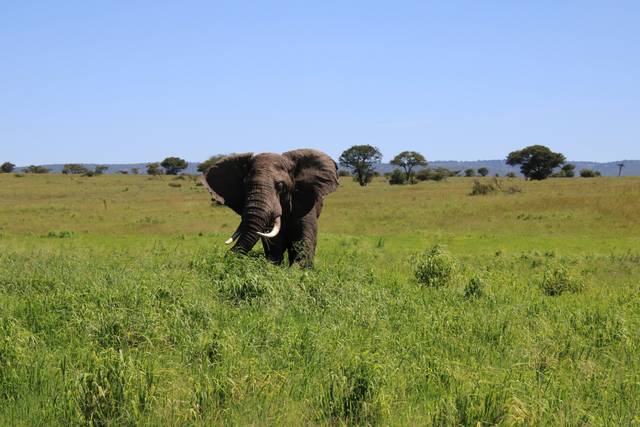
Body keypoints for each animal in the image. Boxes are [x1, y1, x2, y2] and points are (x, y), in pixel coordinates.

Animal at [201, 149, 338, 267]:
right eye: (245, 185)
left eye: (281, 185)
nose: (226, 257)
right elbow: (274, 244)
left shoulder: (304, 200)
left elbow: (304, 240)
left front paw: (301, 271)